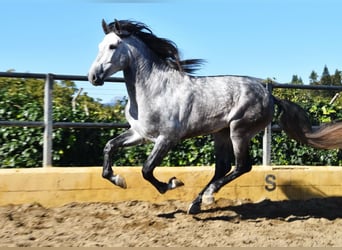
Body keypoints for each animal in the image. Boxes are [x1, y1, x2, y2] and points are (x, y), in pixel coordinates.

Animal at [88, 20, 342, 215]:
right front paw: (119, 180)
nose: (93, 77)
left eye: (112, 46)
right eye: (99, 45)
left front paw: (172, 183)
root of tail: (268, 94)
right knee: (223, 167)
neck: (154, 90)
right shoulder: (140, 134)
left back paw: (208, 197)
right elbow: (110, 147)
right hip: (221, 133)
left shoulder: (167, 138)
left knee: (242, 166)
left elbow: (147, 169)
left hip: (239, 131)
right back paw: (195, 204)